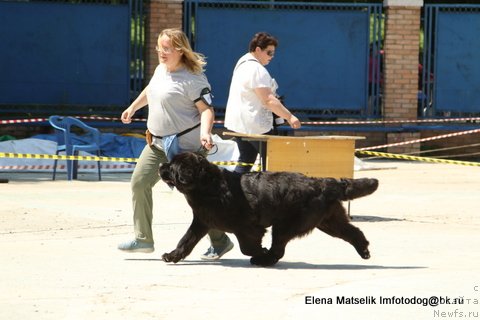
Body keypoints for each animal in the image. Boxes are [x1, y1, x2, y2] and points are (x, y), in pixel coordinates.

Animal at [160, 151, 378, 266]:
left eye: (172, 166)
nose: (161, 165)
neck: (208, 187)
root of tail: (320, 182)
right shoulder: (202, 221)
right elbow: (186, 240)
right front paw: (172, 255)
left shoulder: (247, 228)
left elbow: (247, 247)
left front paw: (260, 252)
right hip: (329, 221)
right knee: (353, 232)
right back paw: (364, 251)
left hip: (286, 225)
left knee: (279, 248)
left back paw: (265, 259)